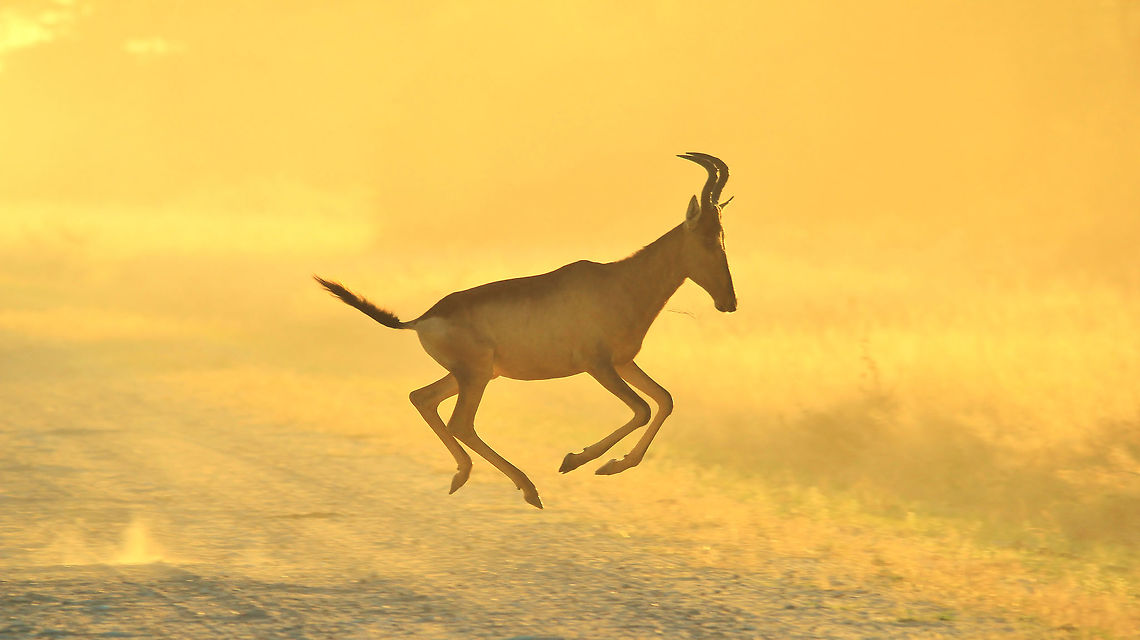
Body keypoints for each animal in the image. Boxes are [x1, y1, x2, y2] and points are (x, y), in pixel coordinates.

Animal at [315, 152, 736, 509]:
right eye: (706, 237)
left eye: (722, 235)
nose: (728, 302)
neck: (619, 281)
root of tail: (422, 317)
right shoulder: (597, 365)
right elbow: (643, 408)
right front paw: (575, 460)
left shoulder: (624, 362)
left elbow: (664, 401)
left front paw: (611, 466)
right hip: (476, 376)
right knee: (460, 422)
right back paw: (528, 488)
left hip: (473, 375)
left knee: (423, 398)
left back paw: (464, 475)